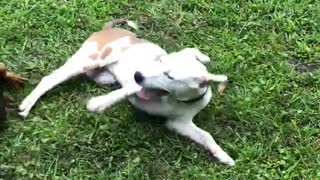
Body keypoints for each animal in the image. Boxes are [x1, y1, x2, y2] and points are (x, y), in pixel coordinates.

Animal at [19, 19, 235, 165]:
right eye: (160, 61)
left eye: (170, 76)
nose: (138, 75)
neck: (172, 100)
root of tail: (108, 29)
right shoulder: (135, 87)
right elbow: (122, 93)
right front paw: (98, 104)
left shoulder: (179, 123)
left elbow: (206, 135)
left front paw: (222, 155)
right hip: (87, 61)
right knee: (49, 79)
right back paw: (27, 104)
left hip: (102, 75)